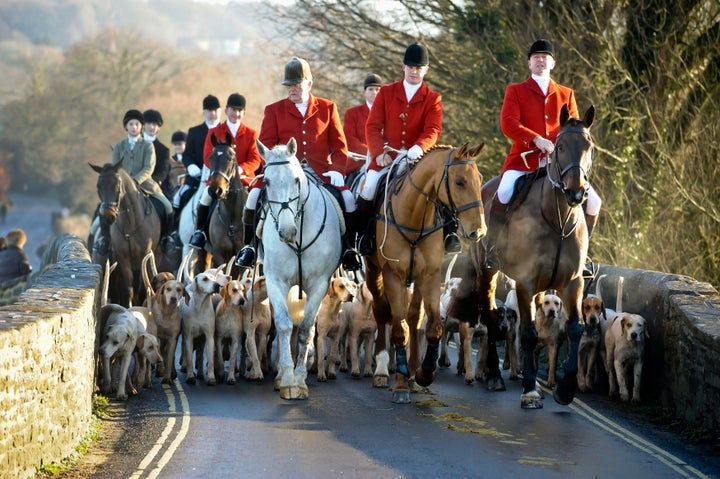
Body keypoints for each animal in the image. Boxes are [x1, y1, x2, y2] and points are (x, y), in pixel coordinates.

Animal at [90, 161, 162, 308]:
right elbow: (128, 290)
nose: (108, 216)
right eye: (99, 186)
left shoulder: (144, 255)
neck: (130, 224)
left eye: (117, 185)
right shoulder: (122, 258)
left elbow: (143, 288)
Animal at [258, 137, 344, 400]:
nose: (286, 232)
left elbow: (306, 329)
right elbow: (285, 325)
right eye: (266, 181)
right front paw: (287, 379)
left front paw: (300, 378)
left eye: (296, 179)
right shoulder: (275, 280)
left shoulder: (319, 285)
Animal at [362, 143, 486, 404]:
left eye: (480, 179)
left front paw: (424, 373)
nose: (479, 230)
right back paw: (382, 369)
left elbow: (433, 328)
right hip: (374, 272)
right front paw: (400, 385)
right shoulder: (393, 276)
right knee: (382, 312)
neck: (414, 216)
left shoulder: (429, 275)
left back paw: (412, 370)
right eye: (460, 182)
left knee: (413, 317)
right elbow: (398, 330)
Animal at [466, 104, 596, 408]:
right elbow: (527, 334)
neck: (558, 219)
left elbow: (574, 328)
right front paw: (529, 390)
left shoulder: (573, 282)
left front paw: (565, 388)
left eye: (589, 146)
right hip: (487, 272)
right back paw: (494, 375)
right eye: (559, 146)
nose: (576, 192)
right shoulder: (525, 282)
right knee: (490, 316)